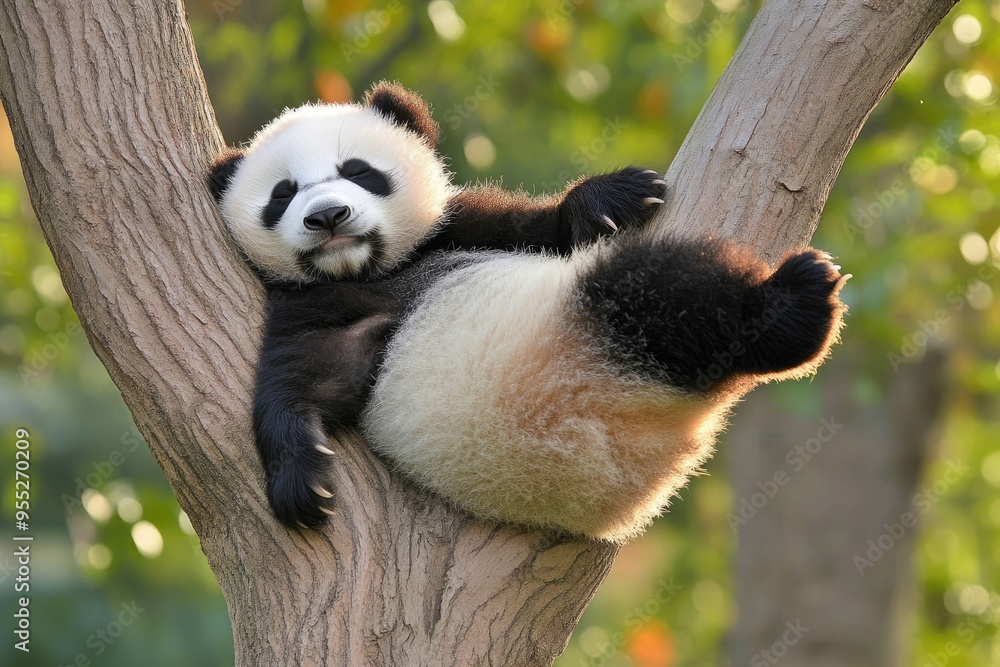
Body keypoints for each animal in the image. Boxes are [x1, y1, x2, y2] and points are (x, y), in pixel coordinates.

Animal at [209, 83, 847, 542]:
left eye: (359, 171)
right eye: (283, 194)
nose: (329, 216)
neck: (375, 271)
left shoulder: (462, 228)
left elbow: (544, 229)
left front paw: (612, 195)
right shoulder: (307, 303)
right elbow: (306, 376)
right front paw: (302, 481)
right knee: (658, 292)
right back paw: (795, 311)